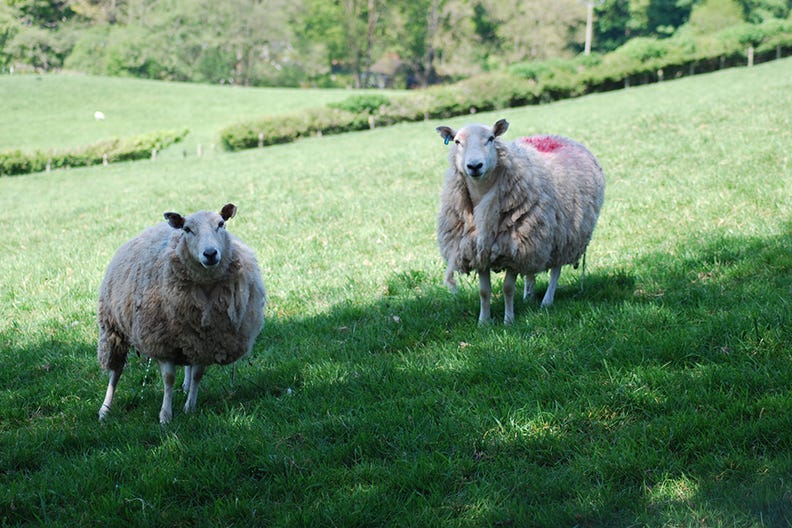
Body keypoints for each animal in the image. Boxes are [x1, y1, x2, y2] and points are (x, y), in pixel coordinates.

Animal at [98, 204, 266, 422]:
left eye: (221, 224)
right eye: (187, 229)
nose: (210, 253)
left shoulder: (207, 342)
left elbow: (197, 375)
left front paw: (190, 407)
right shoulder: (162, 342)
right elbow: (168, 379)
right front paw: (165, 416)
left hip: (188, 338)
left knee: (188, 365)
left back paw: (186, 387)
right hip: (113, 330)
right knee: (115, 371)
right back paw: (105, 410)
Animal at [436, 119, 604, 324]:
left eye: (491, 138)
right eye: (457, 142)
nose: (474, 166)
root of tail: (553, 137)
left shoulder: (513, 251)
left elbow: (508, 288)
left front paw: (509, 320)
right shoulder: (479, 249)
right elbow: (484, 291)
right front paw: (484, 322)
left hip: (564, 236)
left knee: (555, 271)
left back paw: (546, 301)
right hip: (537, 237)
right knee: (531, 269)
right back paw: (528, 296)